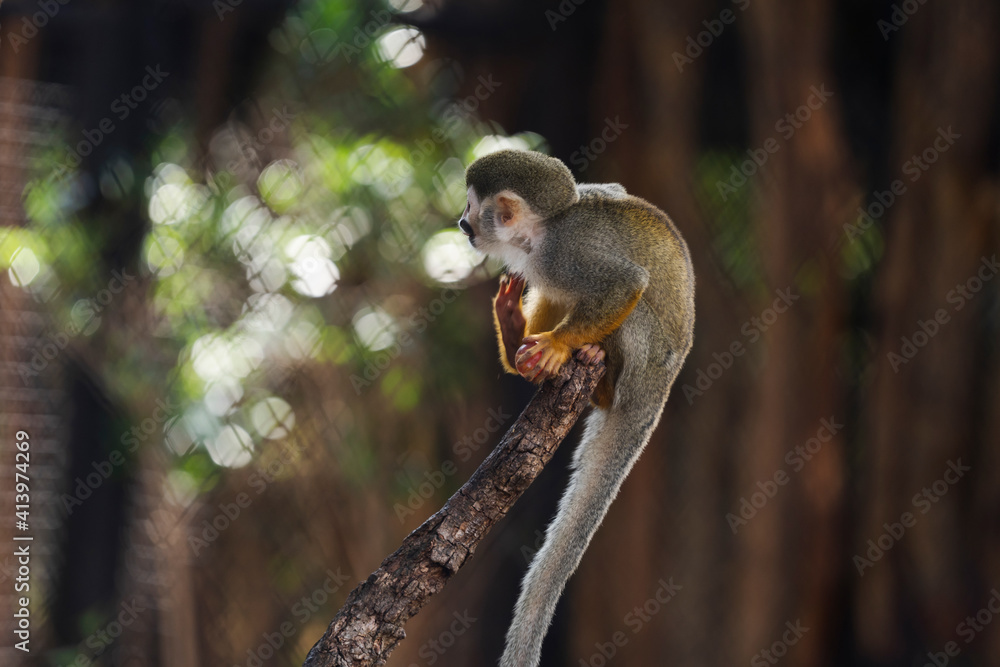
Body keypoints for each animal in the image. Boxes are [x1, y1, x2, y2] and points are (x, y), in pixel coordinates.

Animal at [460, 150, 696, 667]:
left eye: (470, 207)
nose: (461, 222)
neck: (542, 232)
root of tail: (661, 389)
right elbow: (612, 191)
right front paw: (517, 329)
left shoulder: (562, 255)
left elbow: (627, 282)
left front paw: (556, 345)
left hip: (646, 365)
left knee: (632, 306)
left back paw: (594, 373)